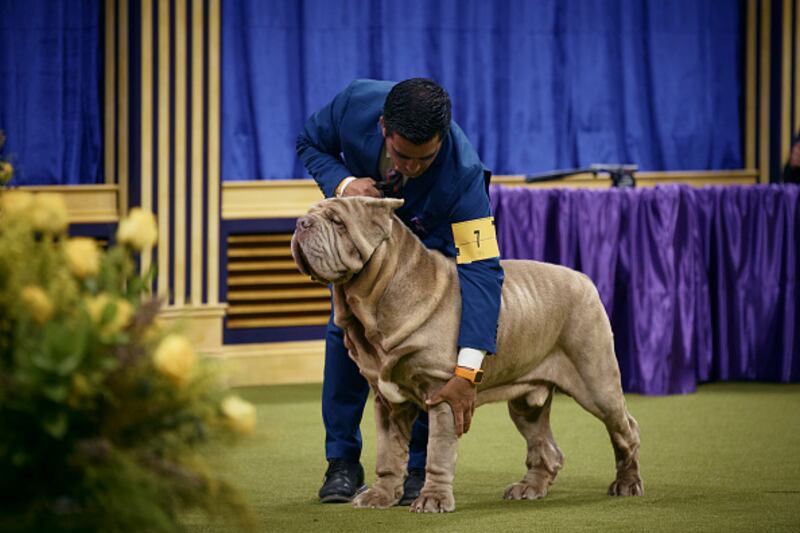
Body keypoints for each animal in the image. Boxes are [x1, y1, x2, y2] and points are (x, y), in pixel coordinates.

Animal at [290, 196, 640, 512]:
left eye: (337, 221)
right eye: (311, 214)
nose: (301, 223)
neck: (376, 297)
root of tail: (583, 278)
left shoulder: (443, 393)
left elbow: (437, 452)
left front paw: (432, 499)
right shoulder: (388, 400)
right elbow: (388, 453)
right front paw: (381, 495)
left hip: (596, 382)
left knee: (625, 429)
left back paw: (626, 483)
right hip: (526, 403)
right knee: (546, 447)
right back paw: (529, 488)